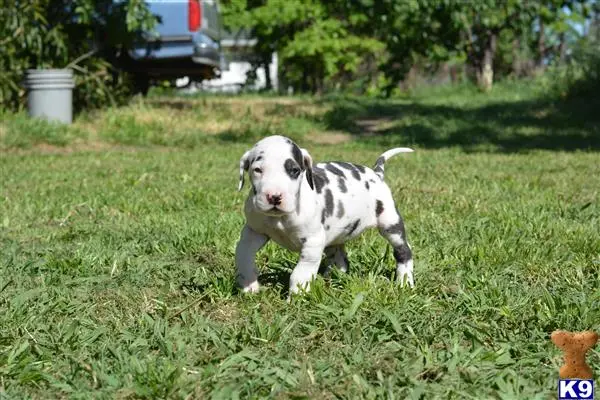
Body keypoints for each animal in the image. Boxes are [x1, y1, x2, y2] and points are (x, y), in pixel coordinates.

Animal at [234, 136, 412, 296]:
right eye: (257, 170)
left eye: (294, 170)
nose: (274, 197)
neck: (280, 218)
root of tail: (376, 173)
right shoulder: (253, 233)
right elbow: (243, 256)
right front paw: (249, 286)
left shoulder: (312, 243)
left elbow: (300, 273)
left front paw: (297, 297)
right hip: (335, 240)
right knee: (341, 260)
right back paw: (333, 280)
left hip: (390, 224)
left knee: (404, 251)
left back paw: (405, 282)